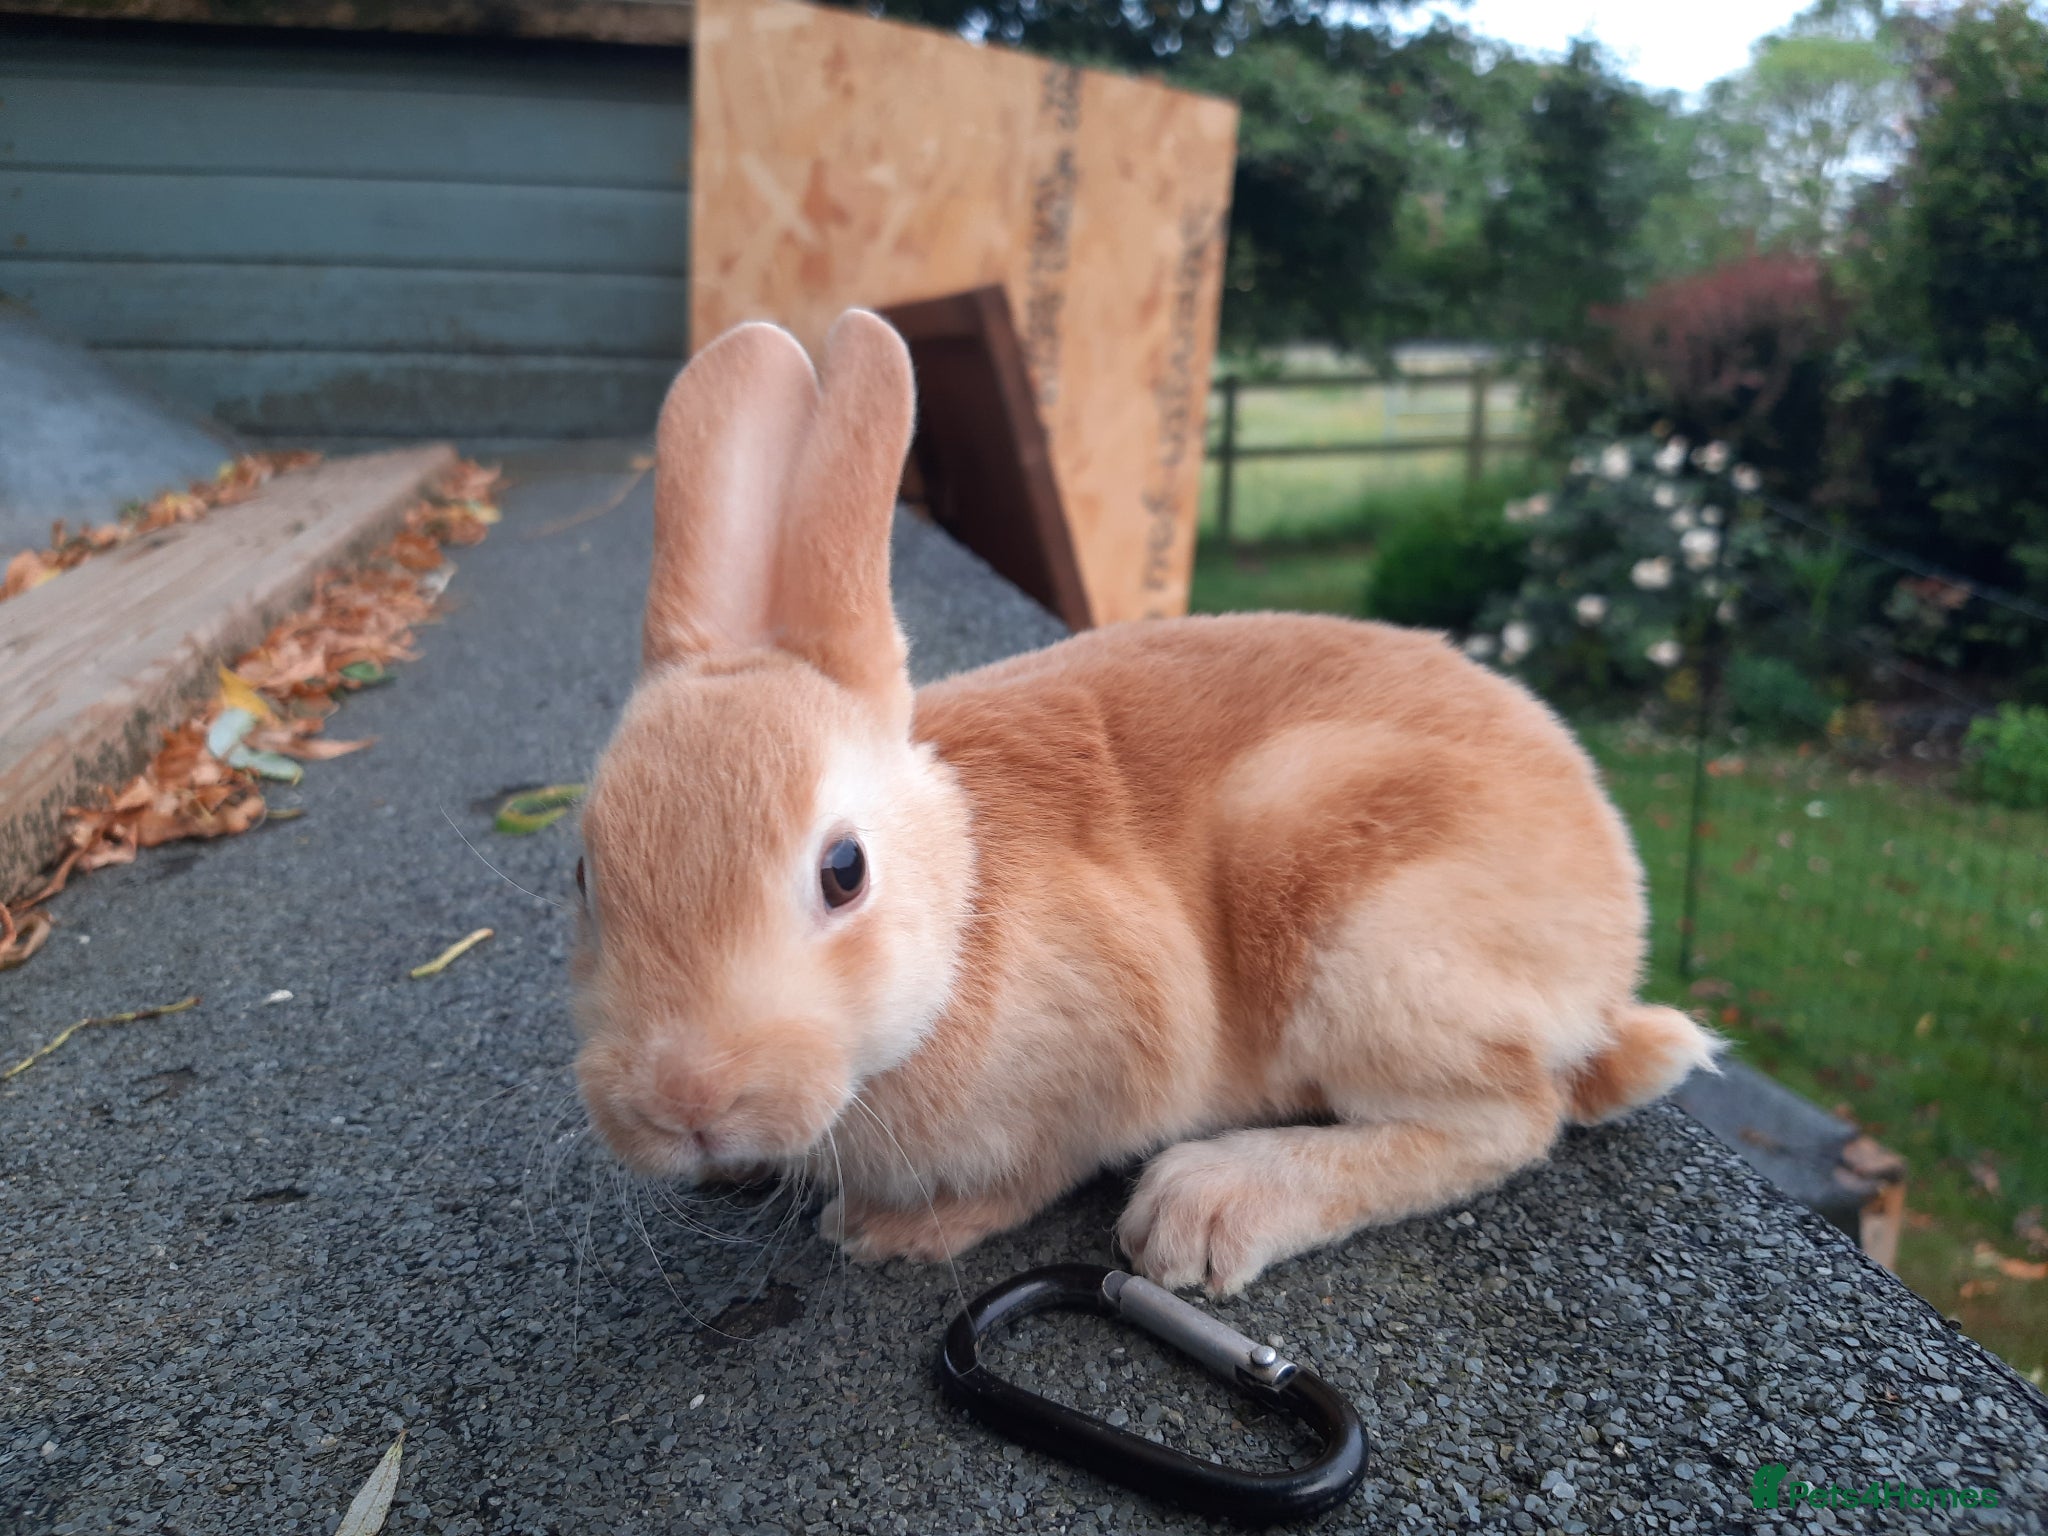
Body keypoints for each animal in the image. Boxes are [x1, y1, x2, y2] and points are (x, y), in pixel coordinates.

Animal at [569, 308, 1721, 1296]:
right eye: (583, 874)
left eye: (842, 872)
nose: (686, 1104)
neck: (964, 912)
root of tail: (1612, 939)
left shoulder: (1114, 1049)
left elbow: (1033, 1172)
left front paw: (892, 1231)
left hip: (1362, 931)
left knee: (1510, 1119)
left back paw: (1209, 1206)